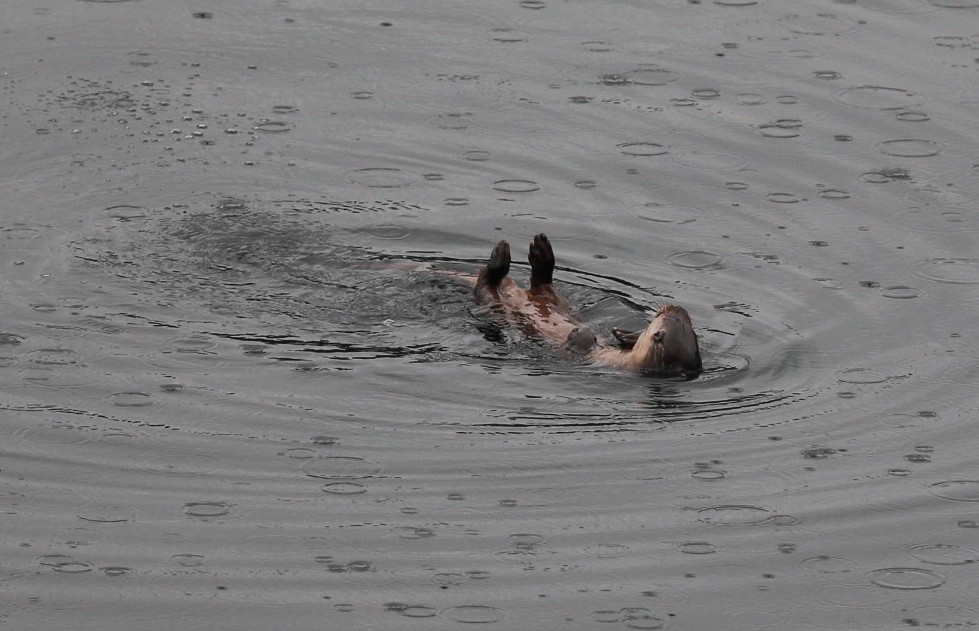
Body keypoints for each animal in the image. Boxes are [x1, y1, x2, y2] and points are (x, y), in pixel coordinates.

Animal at [474, 234, 702, 376]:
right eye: (682, 319)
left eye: (670, 316)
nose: (677, 308)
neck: (625, 361)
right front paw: (623, 334)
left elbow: (577, 345)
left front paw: (580, 333)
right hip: (555, 299)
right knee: (543, 285)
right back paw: (541, 252)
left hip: (495, 306)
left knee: (486, 288)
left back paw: (500, 258)